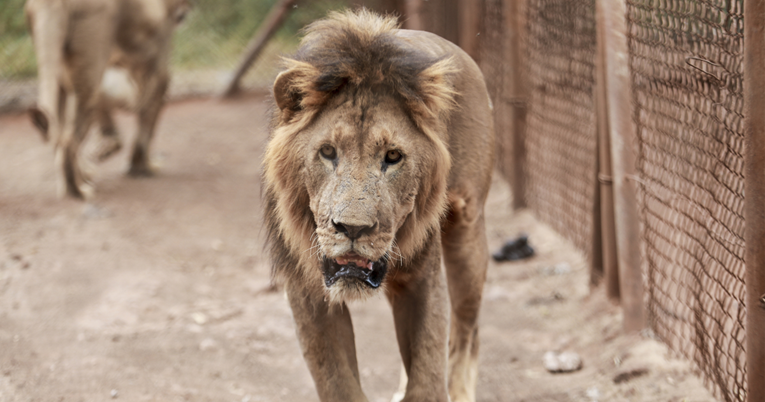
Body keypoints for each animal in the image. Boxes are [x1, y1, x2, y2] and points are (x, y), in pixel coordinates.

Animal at [25, 0, 191, 198]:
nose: (186, 11)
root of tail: (51, 3)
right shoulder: (159, 71)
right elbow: (148, 127)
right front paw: (143, 168)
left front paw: (106, 152)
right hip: (91, 59)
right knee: (68, 139)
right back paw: (78, 191)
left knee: (57, 132)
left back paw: (75, 182)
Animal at [262, 9, 496, 402]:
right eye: (328, 152)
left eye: (393, 156)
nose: (353, 229)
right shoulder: (306, 288)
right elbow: (338, 382)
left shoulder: (422, 276)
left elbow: (428, 373)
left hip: (467, 225)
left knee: (467, 329)